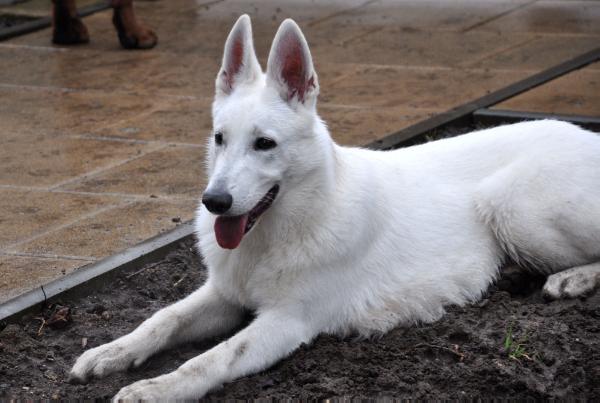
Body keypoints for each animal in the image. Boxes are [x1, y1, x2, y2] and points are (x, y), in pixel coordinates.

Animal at [70, 15, 600, 400]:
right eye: (220, 139)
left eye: (265, 144)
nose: (215, 202)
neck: (279, 230)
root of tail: (585, 134)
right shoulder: (223, 294)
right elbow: (163, 319)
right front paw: (113, 352)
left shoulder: (286, 323)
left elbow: (212, 358)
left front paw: (155, 388)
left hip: (509, 207)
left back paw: (573, 278)